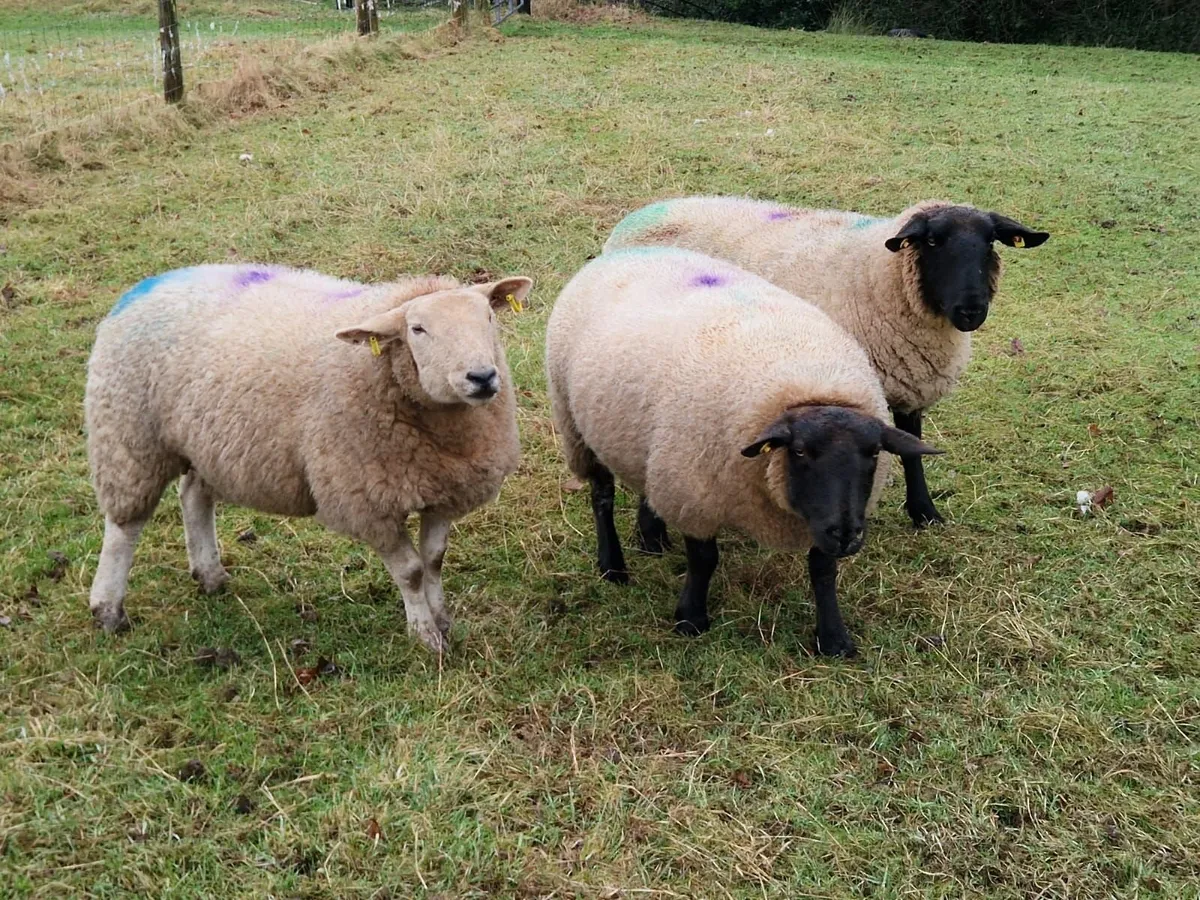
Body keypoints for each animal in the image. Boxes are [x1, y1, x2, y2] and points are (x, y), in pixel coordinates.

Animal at [85, 263, 532, 654]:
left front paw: (443, 621)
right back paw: (108, 609)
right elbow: (411, 571)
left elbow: (435, 560)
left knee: (194, 493)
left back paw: (210, 576)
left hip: (207, 440)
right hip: (129, 437)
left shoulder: (443, 487)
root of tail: (152, 283)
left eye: (488, 318)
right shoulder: (365, 500)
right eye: (417, 329)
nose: (481, 377)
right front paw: (425, 636)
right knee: (124, 526)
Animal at [545, 247, 940, 656]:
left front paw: (833, 638)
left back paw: (652, 539)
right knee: (602, 497)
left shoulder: (824, 516)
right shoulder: (694, 491)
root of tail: (622, 253)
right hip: (576, 427)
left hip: (646, 437)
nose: (847, 534)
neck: (808, 384)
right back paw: (613, 567)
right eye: (800, 452)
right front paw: (691, 619)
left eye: (874, 453)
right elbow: (704, 560)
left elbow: (823, 569)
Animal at [604, 196, 1047, 533]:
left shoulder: (906, 385)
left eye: (990, 243)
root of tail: (636, 216)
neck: (877, 273)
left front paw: (924, 512)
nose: (971, 310)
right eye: (934, 241)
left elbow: (912, 451)